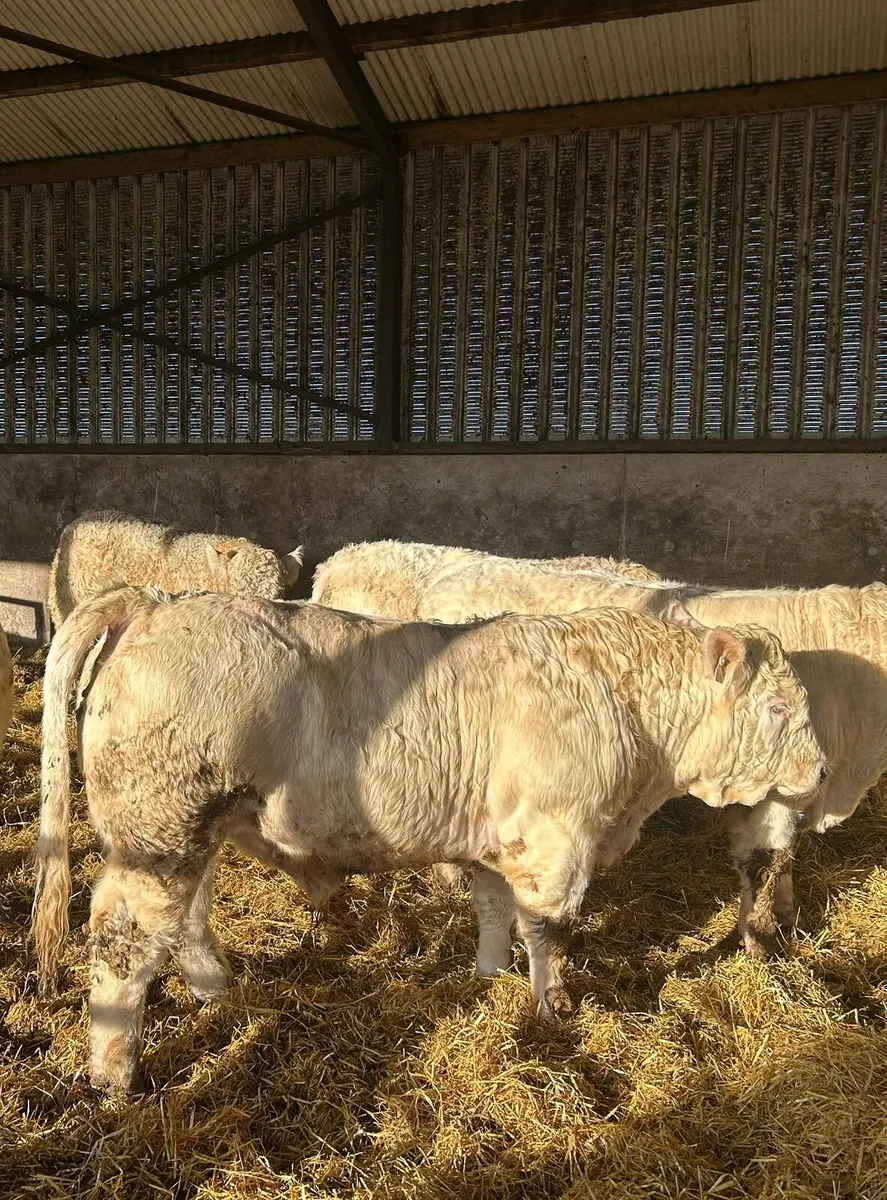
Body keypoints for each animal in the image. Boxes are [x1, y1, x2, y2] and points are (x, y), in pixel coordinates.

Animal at [32, 584, 824, 1094]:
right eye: (779, 709)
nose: (819, 770)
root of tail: (156, 604)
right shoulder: (555, 843)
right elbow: (550, 930)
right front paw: (552, 1010)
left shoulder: (496, 842)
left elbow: (495, 911)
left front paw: (489, 976)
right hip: (162, 831)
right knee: (125, 938)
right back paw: (114, 1075)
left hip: (196, 831)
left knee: (185, 922)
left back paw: (216, 993)